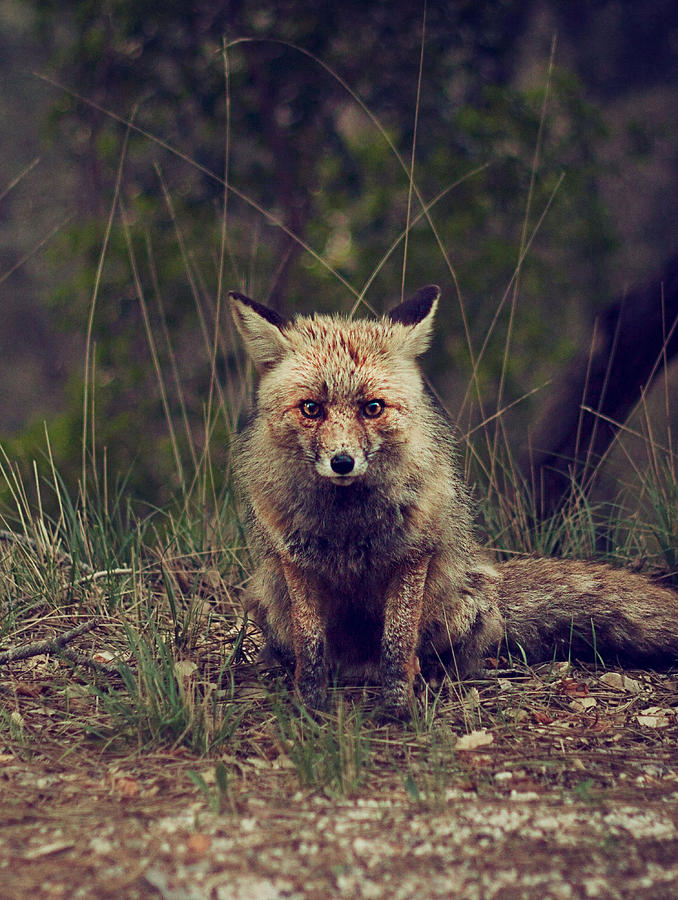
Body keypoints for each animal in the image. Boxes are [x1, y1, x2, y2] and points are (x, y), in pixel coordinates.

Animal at [229, 285, 678, 719]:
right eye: (311, 408)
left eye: (372, 408)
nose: (342, 462)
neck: (347, 525)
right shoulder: (295, 558)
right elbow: (311, 645)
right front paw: (309, 704)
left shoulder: (414, 553)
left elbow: (397, 642)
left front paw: (398, 709)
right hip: (265, 600)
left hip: (465, 608)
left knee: (451, 657)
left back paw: (438, 675)